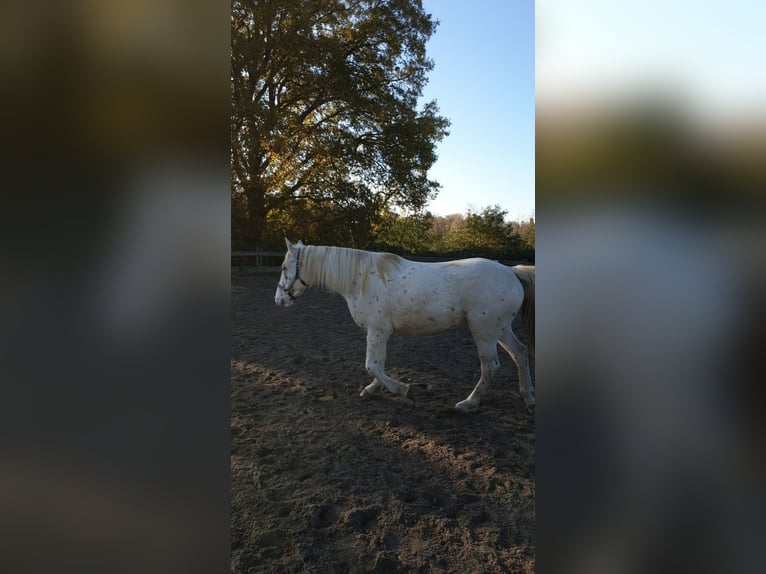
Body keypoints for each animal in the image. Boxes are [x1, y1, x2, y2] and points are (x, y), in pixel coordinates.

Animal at [274, 239, 535, 413]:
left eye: (285, 268)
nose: (278, 301)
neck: (361, 279)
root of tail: (510, 271)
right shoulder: (380, 332)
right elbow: (378, 364)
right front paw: (372, 390)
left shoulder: (377, 331)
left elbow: (372, 365)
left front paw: (405, 391)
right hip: (499, 330)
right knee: (520, 353)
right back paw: (527, 397)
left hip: (484, 332)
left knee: (490, 366)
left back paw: (468, 403)